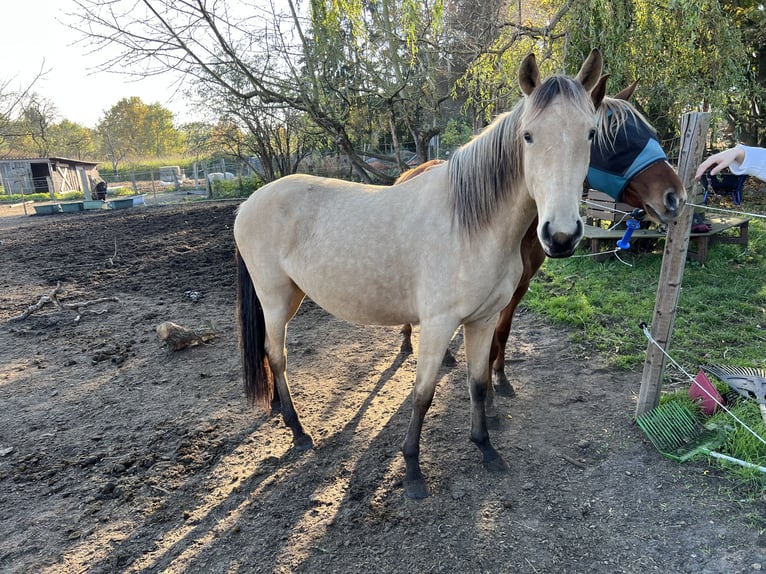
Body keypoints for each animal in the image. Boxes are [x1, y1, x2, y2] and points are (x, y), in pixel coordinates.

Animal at [234, 49, 608, 500]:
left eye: (591, 133)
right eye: (529, 136)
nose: (561, 236)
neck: (471, 223)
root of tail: (249, 203)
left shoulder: (483, 321)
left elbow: (477, 383)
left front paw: (486, 449)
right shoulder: (437, 324)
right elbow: (422, 395)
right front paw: (413, 471)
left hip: (290, 297)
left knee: (271, 355)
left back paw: (278, 409)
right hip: (273, 298)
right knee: (277, 355)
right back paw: (298, 431)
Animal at [400, 82, 688, 404]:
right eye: (617, 140)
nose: (675, 196)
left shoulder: (520, 287)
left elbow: (502, 333)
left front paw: (499, 378)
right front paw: (488, 394)